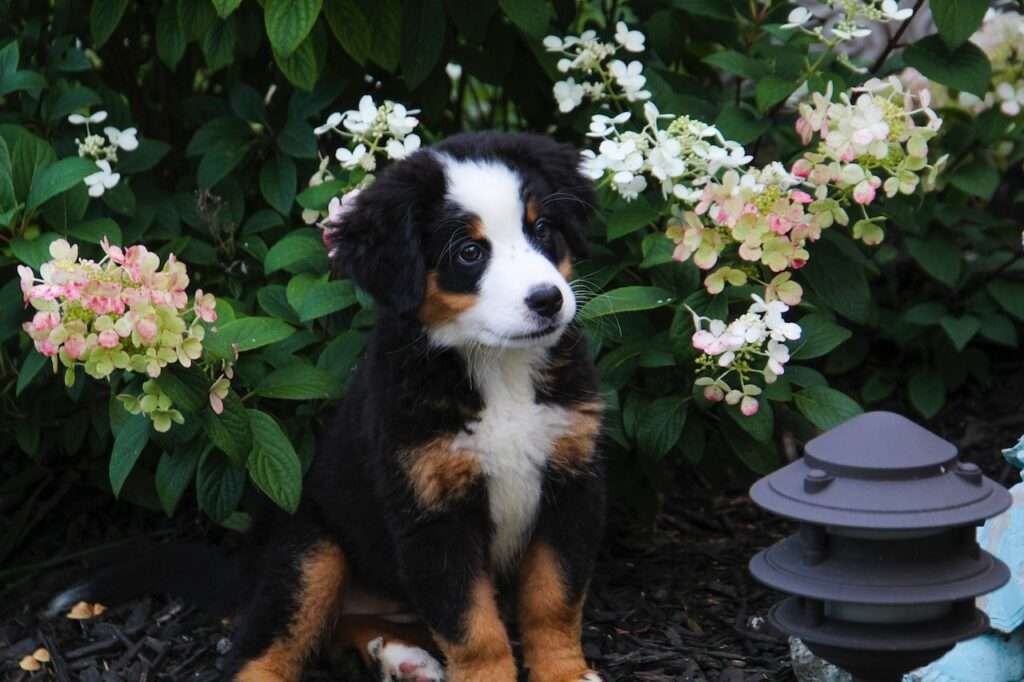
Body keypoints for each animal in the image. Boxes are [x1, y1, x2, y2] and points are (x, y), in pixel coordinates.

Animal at [227, 130, 602, 675]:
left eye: (542, 228)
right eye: (468, 252)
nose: (548, 300)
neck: (497, 368)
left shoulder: (571, 481)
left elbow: (552, 600)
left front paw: (565, 674)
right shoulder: (431, 513)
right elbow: (474, 628)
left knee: (347, 626)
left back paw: (405, 659)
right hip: (311, 548)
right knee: (269, 643)